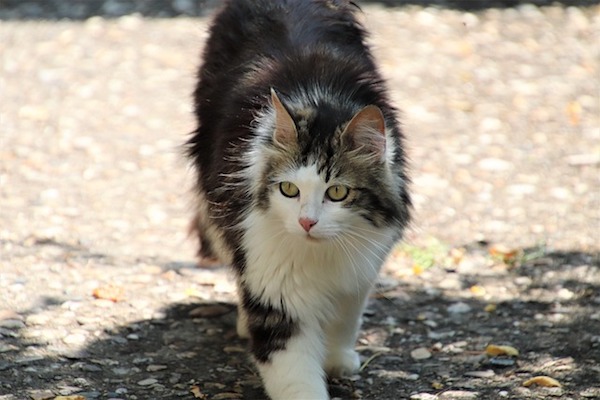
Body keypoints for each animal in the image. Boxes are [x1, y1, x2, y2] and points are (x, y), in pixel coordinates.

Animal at [186, 0, 412, 400]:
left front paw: (338, 359)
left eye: (337, 192)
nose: (307, 222)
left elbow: (345, 319)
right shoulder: (274, 286)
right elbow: (293, 369)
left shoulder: (360, 267)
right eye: (289, 190)